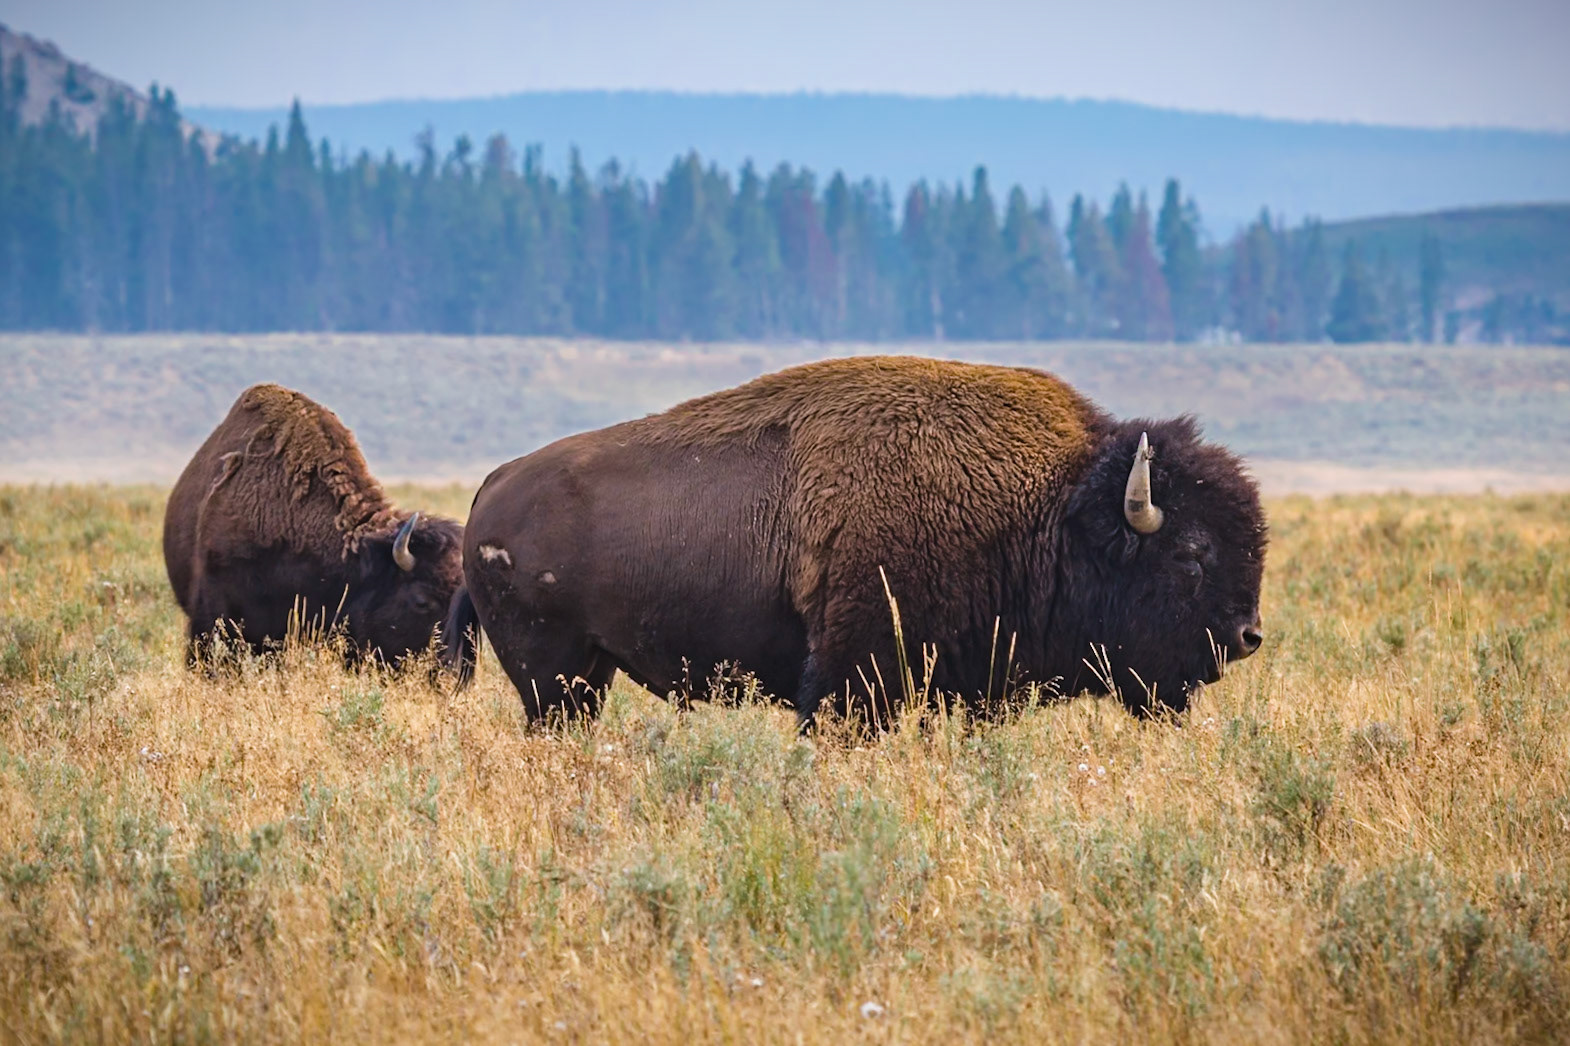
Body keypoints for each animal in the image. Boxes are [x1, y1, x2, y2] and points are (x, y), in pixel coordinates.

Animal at [445, 356, 1266, 725]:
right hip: (553, 677)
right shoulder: (852, 677)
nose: (1247, 636)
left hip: (587, 674)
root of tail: (492, 484)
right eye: (1192, 555)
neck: (1049, 506)